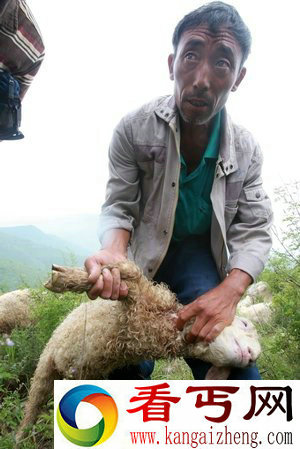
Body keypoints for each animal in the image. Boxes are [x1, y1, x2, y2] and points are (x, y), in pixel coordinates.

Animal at [16, 260, 260, 440]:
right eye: (245, 324)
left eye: (251, 362)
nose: (251, 356)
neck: (163, 325)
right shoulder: (138, 301)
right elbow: (128, 271)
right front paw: (64, 278)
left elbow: (131, 273)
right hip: (46, 361)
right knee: (33, 401)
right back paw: (20, 436)